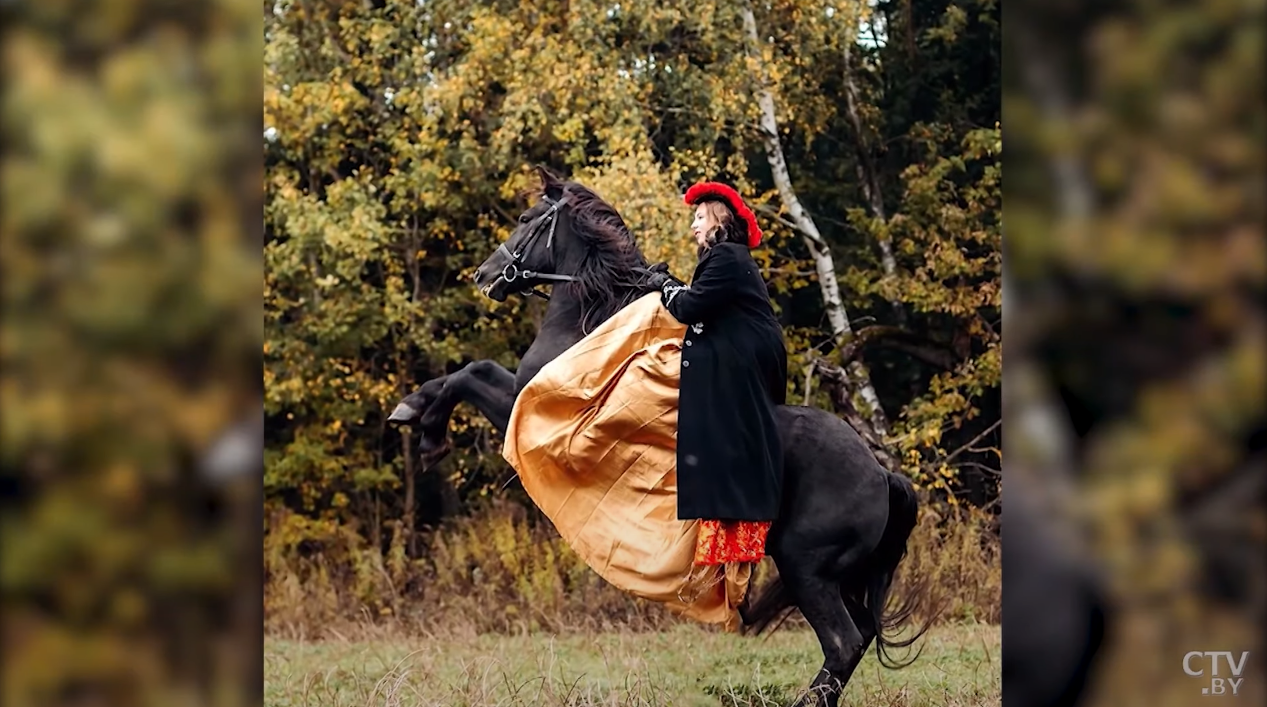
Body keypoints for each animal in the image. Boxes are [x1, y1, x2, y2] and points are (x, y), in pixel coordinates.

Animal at [385, 167, 932, 707]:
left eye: (525, 218)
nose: (484, 275)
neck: (593, 318)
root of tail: (883, 476)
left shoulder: (524, 400)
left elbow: (468, 374)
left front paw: (424, 429)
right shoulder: (523, 395)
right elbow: (469, 371)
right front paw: (414, 409)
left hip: (807, 568)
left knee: (842, 641)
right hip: (840, 577)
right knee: (857, 637)